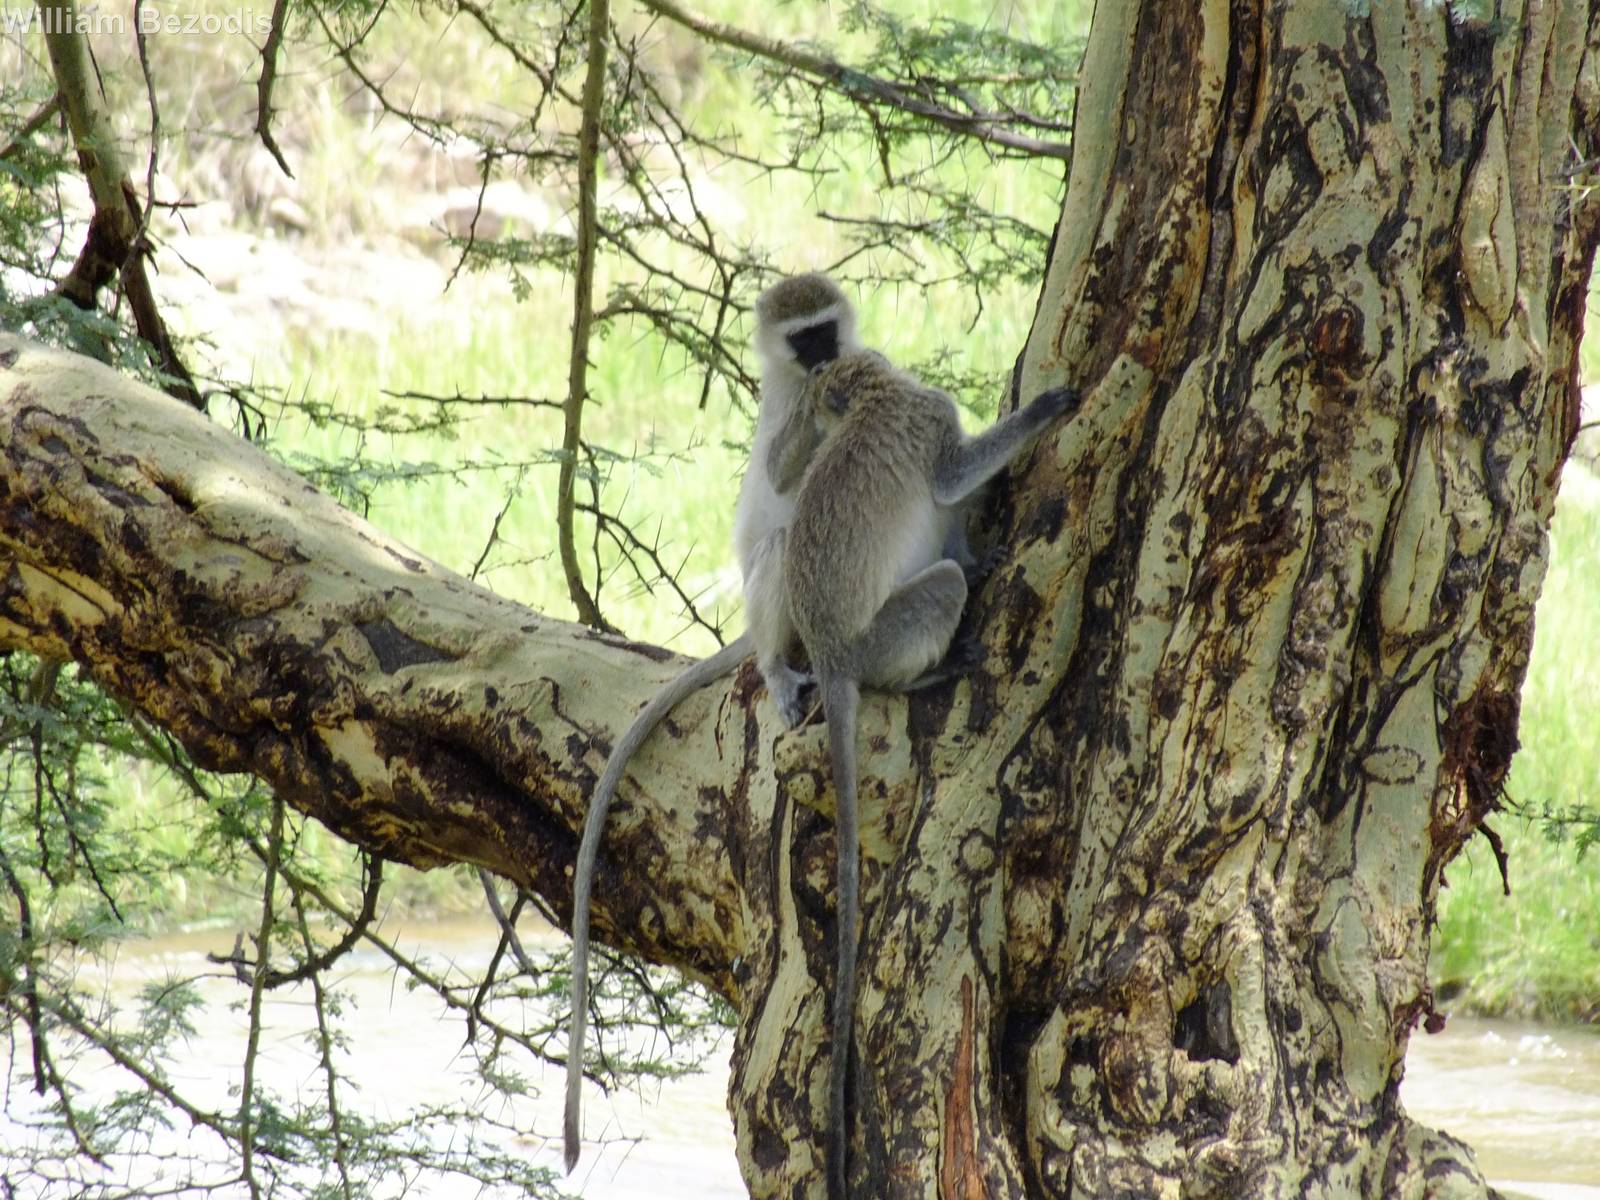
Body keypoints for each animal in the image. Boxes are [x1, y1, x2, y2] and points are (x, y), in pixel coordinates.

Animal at [563, 272, 860, 1173]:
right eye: (801, 340)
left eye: (827, 328)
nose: (826, 360)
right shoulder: (784, 405)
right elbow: (781, 470)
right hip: (774, 609)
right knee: (785, 544)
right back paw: (777, 666)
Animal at [784, 351, 1079, 1200]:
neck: (876, 397)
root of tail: (833, 658)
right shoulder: (935, 417)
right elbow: (951, 480)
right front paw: (1042, 410)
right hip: (890, 633)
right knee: (940, 584)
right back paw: (926, 673)